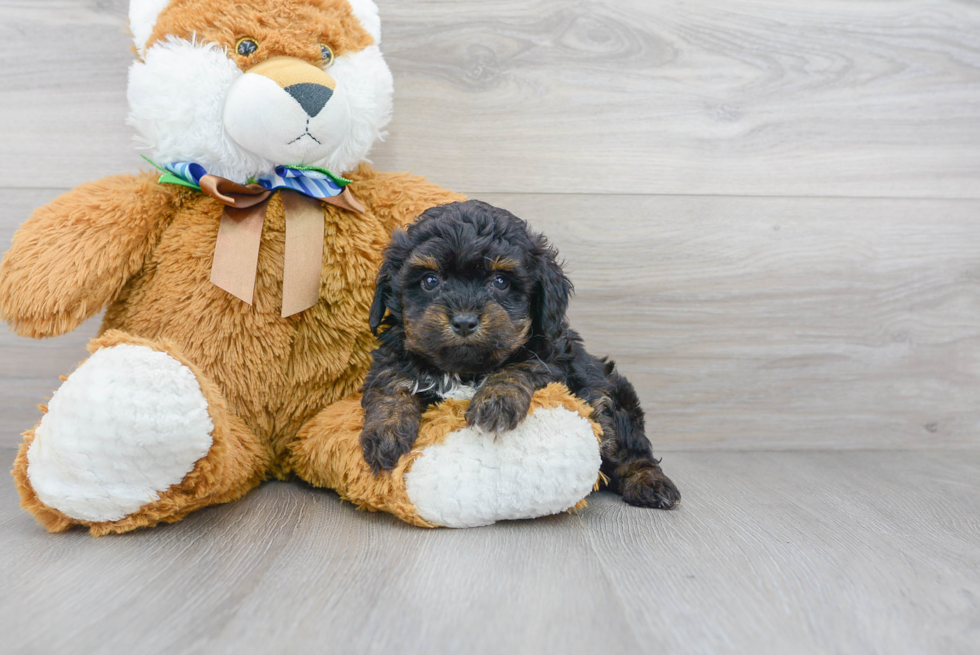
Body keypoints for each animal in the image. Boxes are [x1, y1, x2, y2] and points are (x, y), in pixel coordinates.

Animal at [362, 200, 680, 512]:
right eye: (430, 280)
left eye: (500, 281)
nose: (464, 321)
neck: (465, 370)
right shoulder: (395, 354)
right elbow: (391, 380)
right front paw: (385, 431)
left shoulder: (554, 361)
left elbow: (520, 367)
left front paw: (496, 401)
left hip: (610, 398)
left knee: (626, 447)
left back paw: (650, 483)